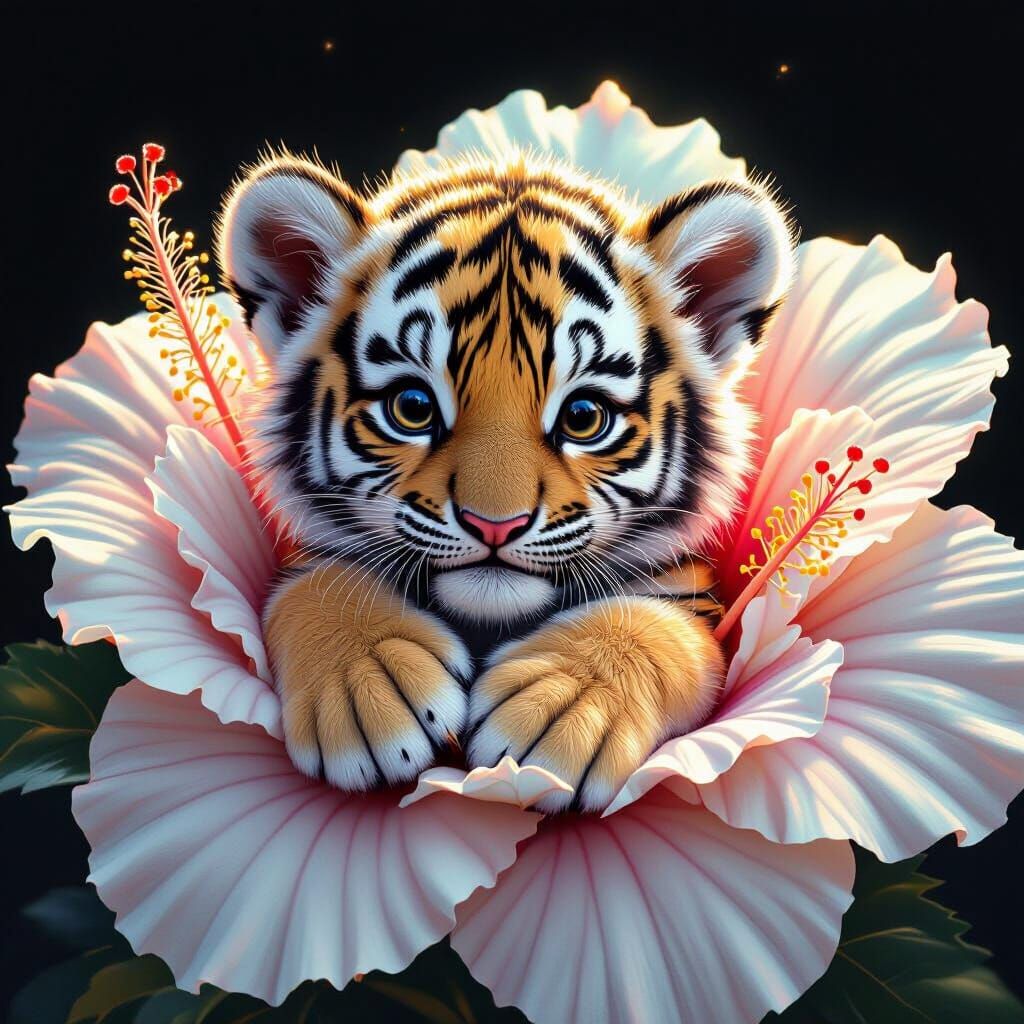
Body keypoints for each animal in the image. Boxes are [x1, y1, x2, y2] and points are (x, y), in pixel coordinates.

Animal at [217, 149, 794, 812]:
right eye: (412, 407)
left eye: (583, 417)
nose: (496, 525)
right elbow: (318, 582)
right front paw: (366, 686)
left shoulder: (693, 593)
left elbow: (661, 626)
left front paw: (565, 710)